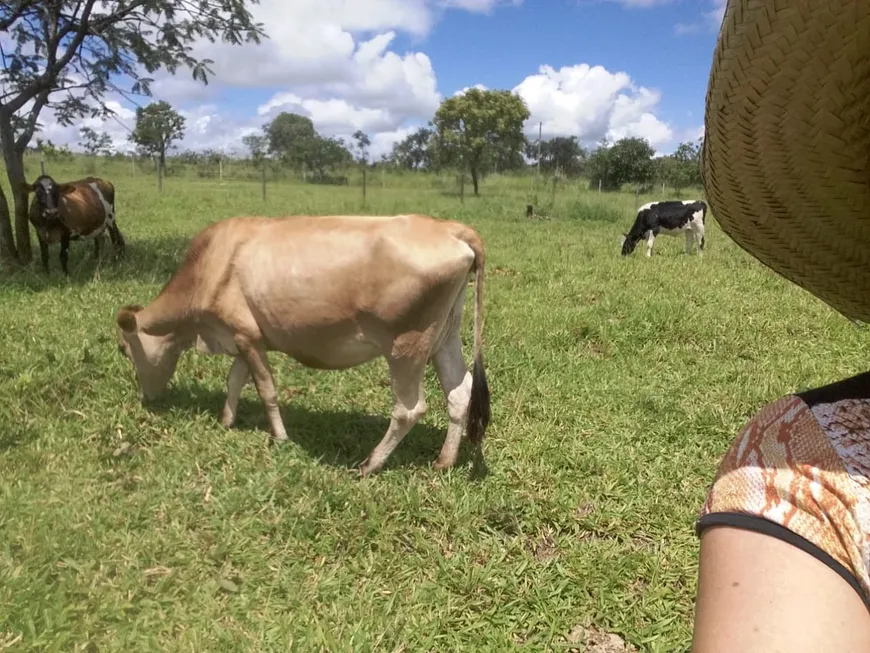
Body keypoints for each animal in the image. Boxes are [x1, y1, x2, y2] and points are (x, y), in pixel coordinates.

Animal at [115, 213, 494, 474]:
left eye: (123, 349)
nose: (145, 398)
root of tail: (450, 228)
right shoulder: (246, 336)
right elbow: (235, 380)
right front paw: (227, 419)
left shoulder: (244, 335)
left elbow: (266, 389)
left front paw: (280, 437)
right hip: (445, 336)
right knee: (459, 393)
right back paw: (444, 461)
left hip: (406, 345)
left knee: (409, 409)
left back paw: (370, 463)